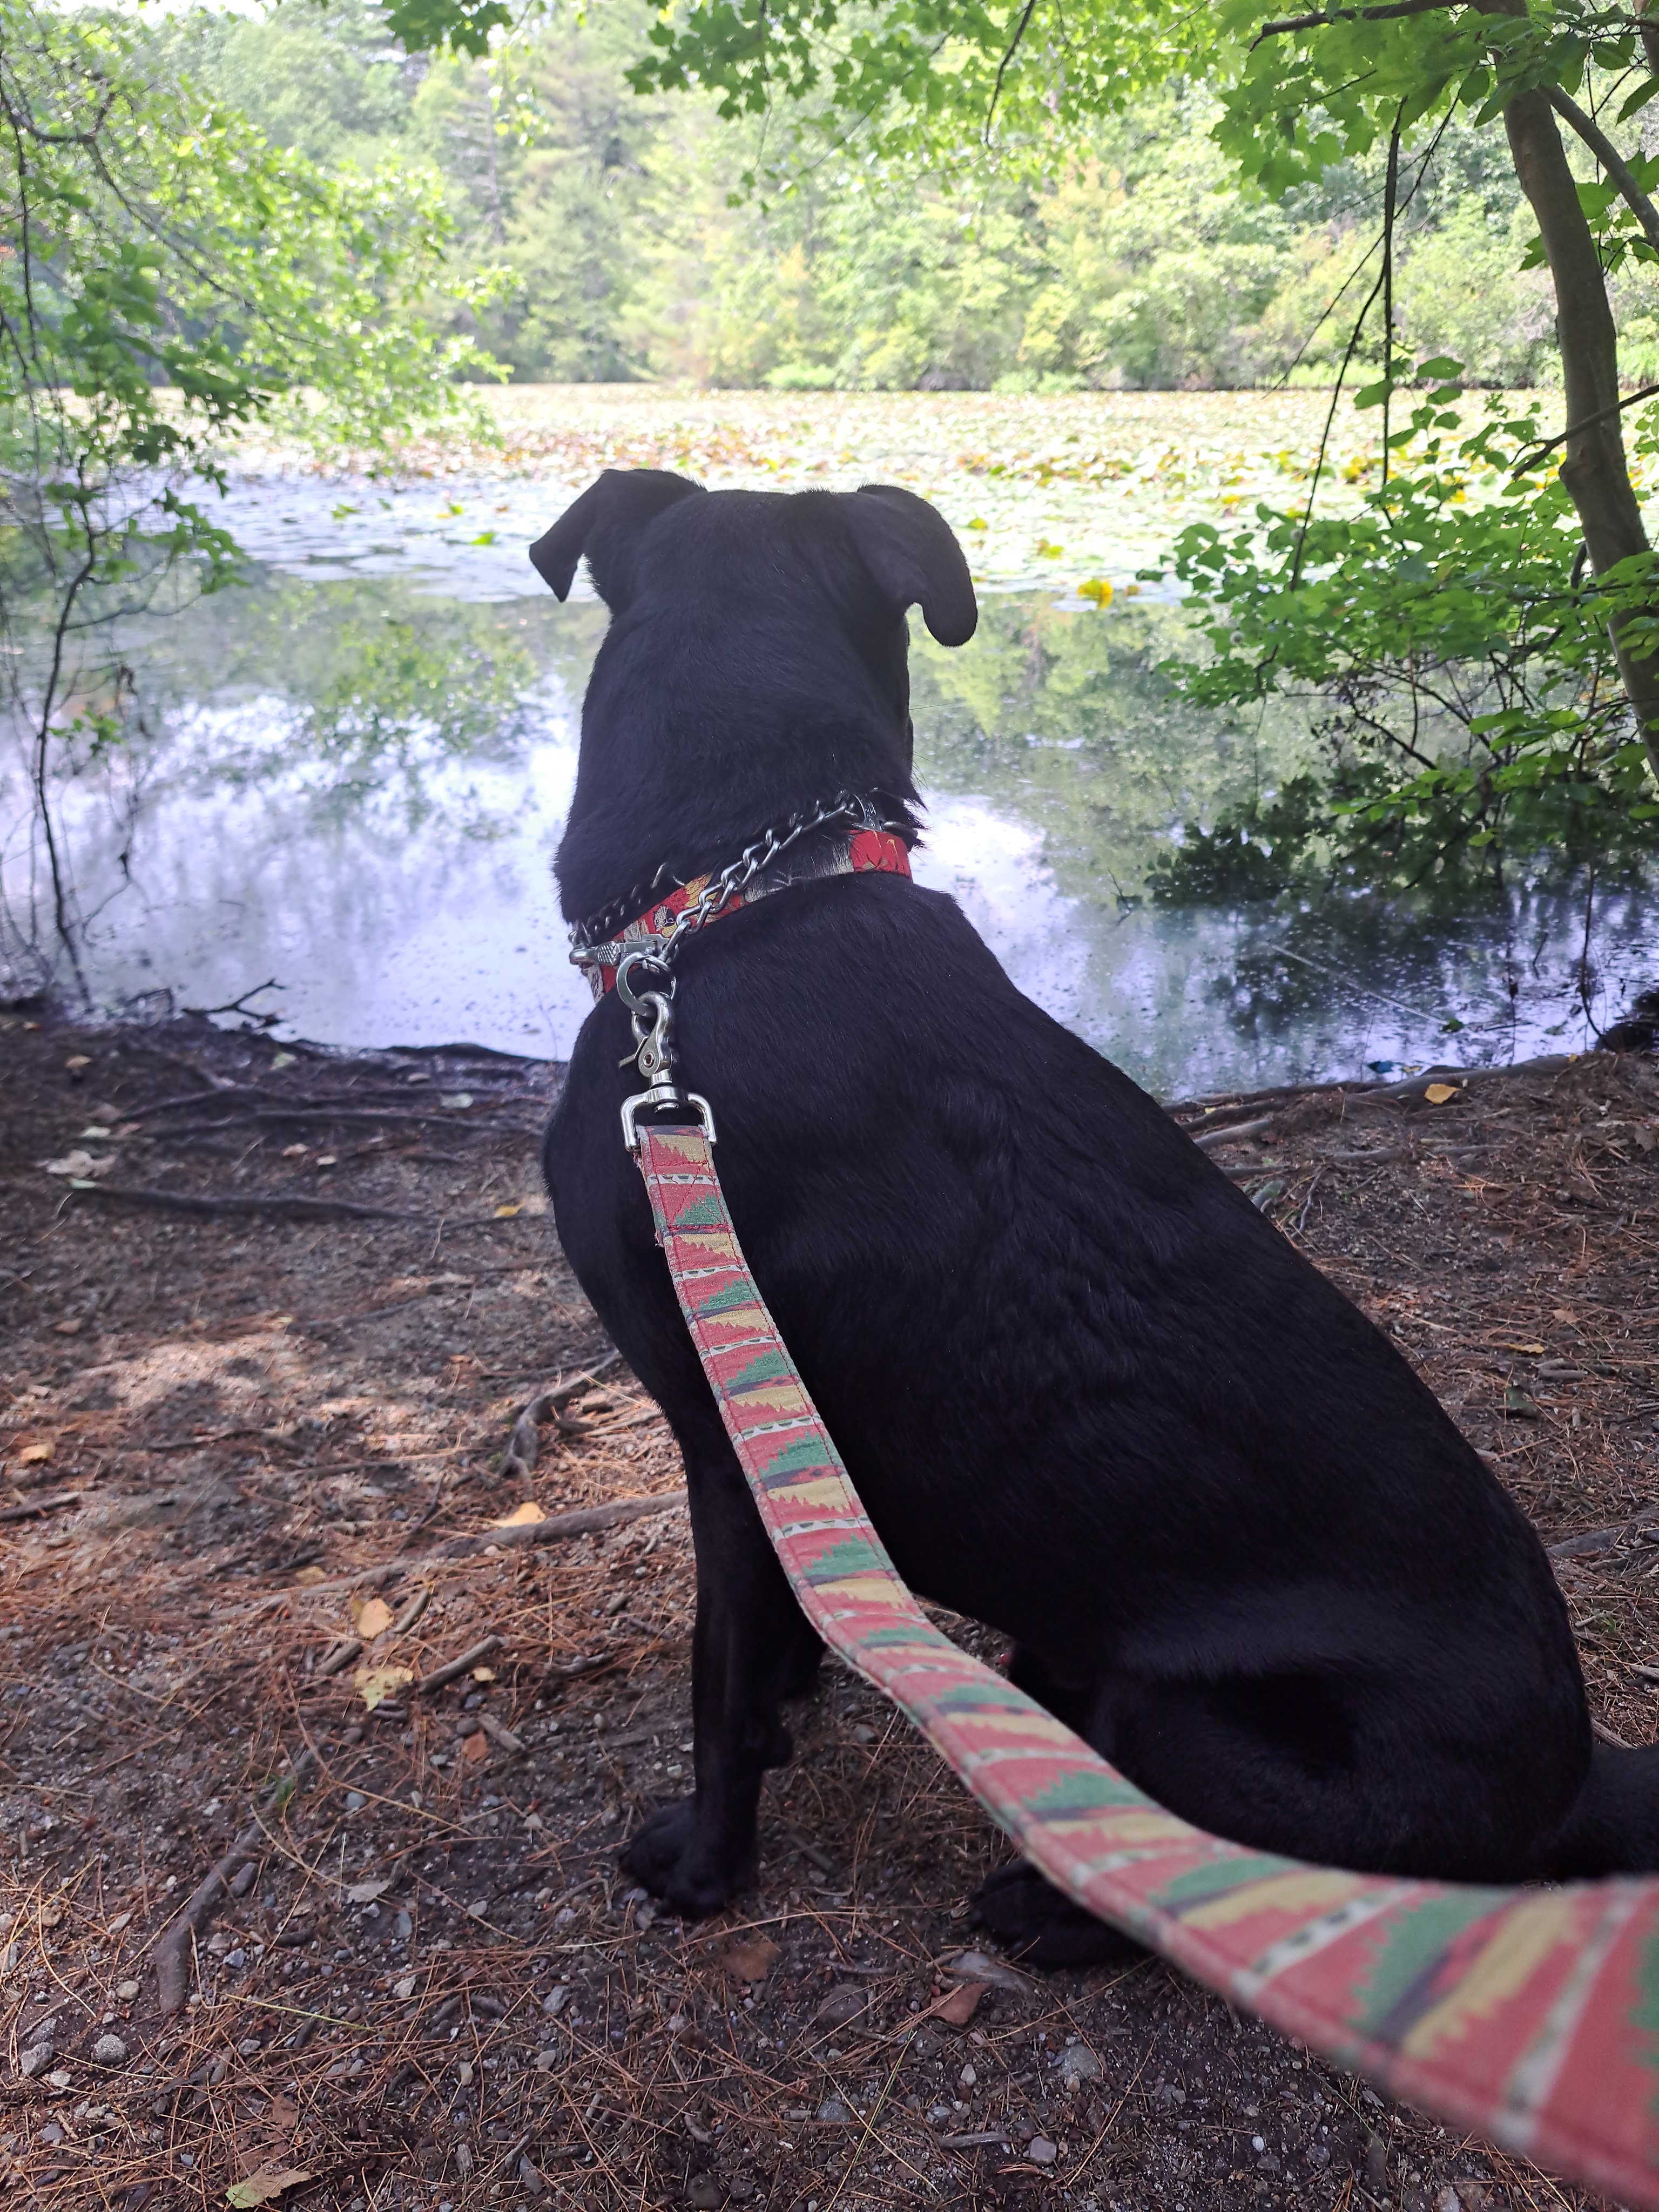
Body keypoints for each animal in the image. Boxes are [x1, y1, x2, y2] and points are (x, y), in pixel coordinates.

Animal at [530, 467, 1659, 1966]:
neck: (745, 889)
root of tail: (1575, 1778)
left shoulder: (725, 1437)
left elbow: (715, 1683)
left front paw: (705, 1860)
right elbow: (782, 1632)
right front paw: (793, 1705)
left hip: (1178, 1712)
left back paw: (1041, 1906)